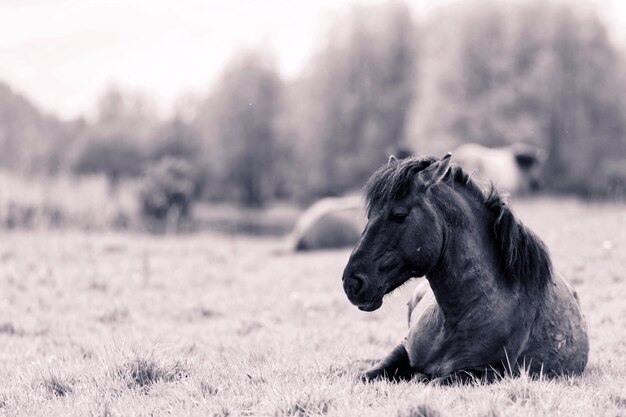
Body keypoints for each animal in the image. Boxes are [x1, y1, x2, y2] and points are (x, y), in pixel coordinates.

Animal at [338, 154, 588, 384]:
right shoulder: (403, 349)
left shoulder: (485, 373)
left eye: (399, 215)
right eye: (369, 215)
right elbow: (365, 375)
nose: (352, 282)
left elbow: (434, 381)